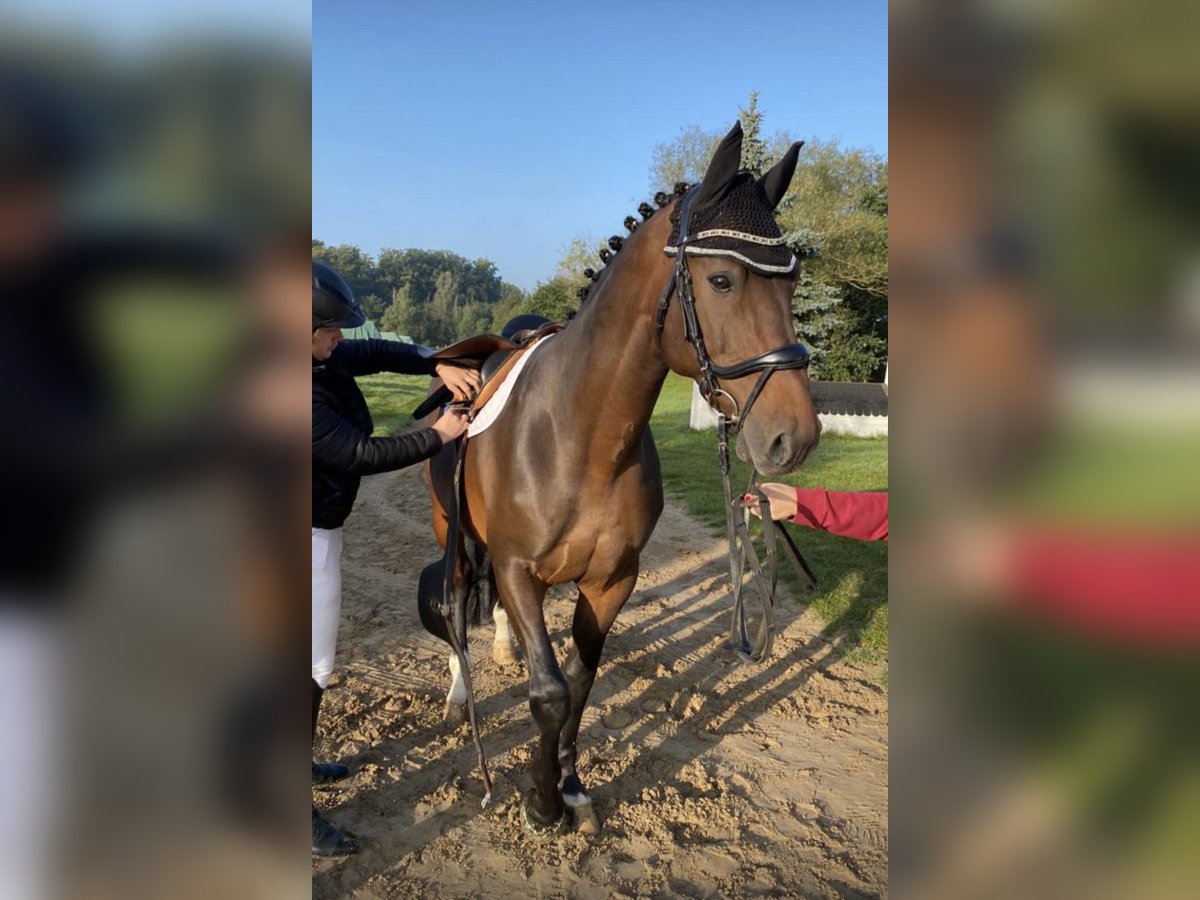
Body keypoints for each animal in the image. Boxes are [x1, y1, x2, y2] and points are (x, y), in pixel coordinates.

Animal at [421, 121, 821, 831]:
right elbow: (548, 692)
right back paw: (460, 689)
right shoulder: (519, 570)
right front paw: (541, 802)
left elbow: (580, 678)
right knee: (456, 602)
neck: (578, 437)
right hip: (454, 533)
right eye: (722, 280)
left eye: (794, 282)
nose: (793, 438)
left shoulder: (612, 580)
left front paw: (570, 783)